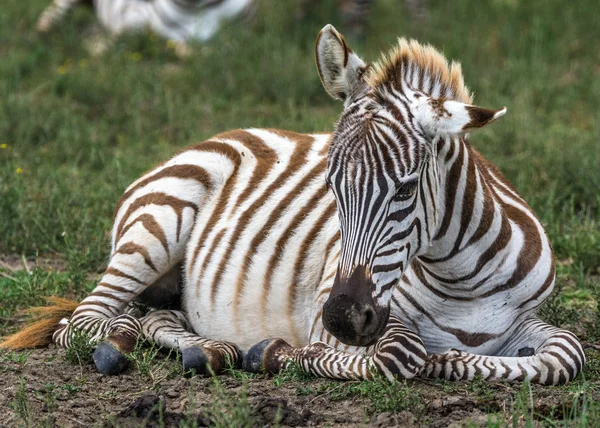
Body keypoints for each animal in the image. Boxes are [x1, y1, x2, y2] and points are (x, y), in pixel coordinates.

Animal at [0, 22, 584, 384]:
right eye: (331, 186)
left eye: (404, 188)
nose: (345, 318)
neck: (462, 282)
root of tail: (218, 134)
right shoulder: (347, 313)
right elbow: (402, 353)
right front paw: (278, 353)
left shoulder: (526, 321)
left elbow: (567, 354)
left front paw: (453, 363)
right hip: (153, 229)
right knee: (84, 322)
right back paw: (121, 344)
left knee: (152, 316)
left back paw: (207, 349)